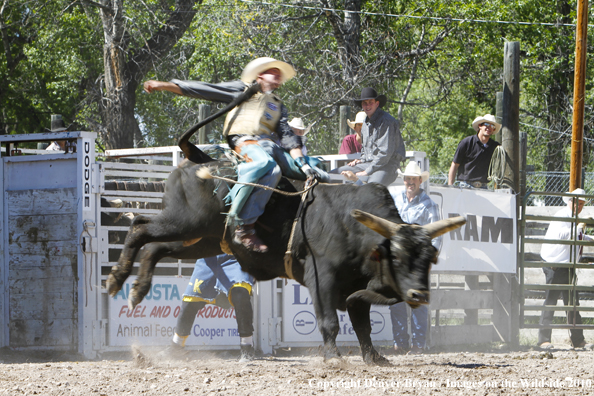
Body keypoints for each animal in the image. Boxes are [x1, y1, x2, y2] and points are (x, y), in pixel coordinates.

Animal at [105, 155, 462, 366]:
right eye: (398, 255)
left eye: (430, 257)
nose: (419, 294)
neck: (353, 227)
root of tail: (187, 167)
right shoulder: (322, 278)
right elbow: (329, 320)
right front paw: (333, 356)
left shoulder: (355, 286)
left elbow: (362, 324)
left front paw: (374, 358)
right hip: (185, 223)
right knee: (140, 228)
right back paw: (117, 278)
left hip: (197, 239)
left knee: (154, 248)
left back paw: (136, 289)